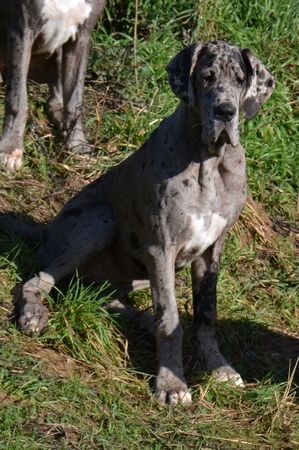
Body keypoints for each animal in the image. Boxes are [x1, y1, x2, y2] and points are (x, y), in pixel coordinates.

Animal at [0, 0, 107, 171]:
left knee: (54, 99)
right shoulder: (22, 32)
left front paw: (77, 144)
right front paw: (11, 148)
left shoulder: (81, 38)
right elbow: (18, 99)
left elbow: (75, 101)